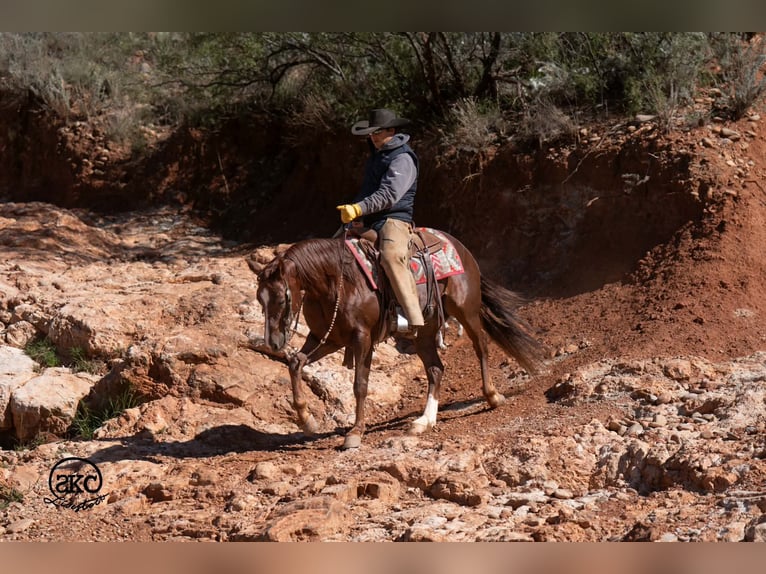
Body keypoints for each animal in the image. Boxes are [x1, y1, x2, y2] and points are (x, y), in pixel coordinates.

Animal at [253, 229, 544, 449]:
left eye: (281, 298)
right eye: (260, 299)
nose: (273, 343)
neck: (336, 281)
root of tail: (459, 246)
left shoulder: (362, 338)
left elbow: (360, 385)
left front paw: (355, 433)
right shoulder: (328, 338)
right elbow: (296, 363)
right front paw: (307, 420)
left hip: (467, 310)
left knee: (481, 346)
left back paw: (493, 396)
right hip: (425, 331)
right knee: (436, 369)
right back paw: (424, 421)